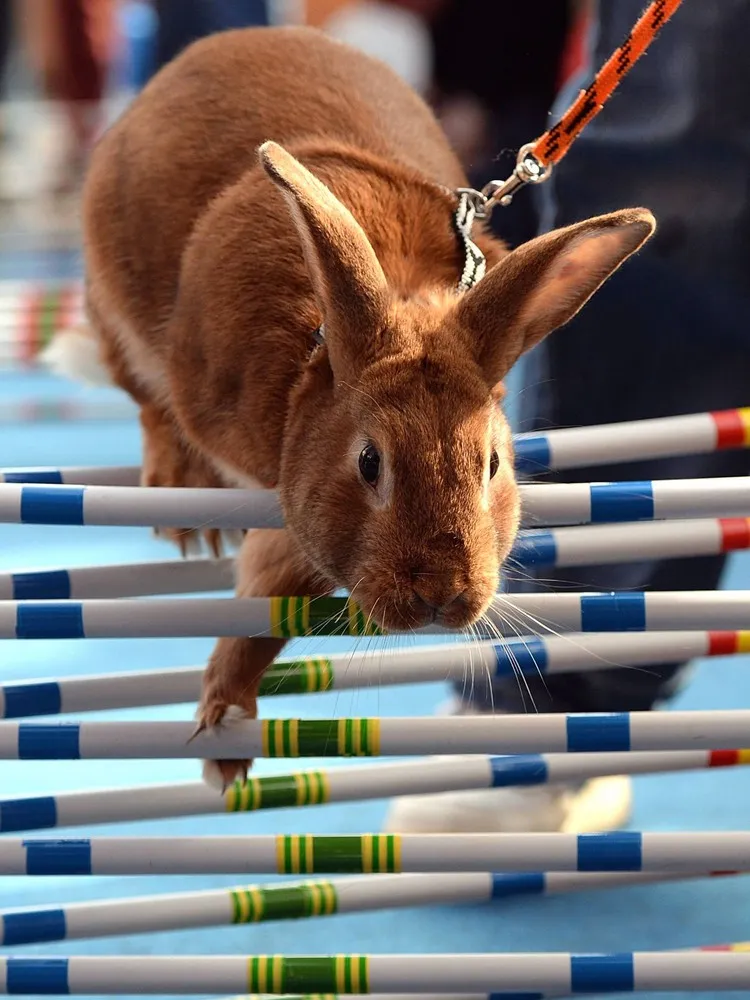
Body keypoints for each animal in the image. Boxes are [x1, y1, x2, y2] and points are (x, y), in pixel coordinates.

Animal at [49, 26, 655, 789]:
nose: (441, 595)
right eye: (370, 463)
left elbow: (268, 609)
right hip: (116, 304)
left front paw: (225, 731)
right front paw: (220, 742)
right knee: (144, 397)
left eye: (491, 466)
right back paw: (185, 504)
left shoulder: (295, 517)